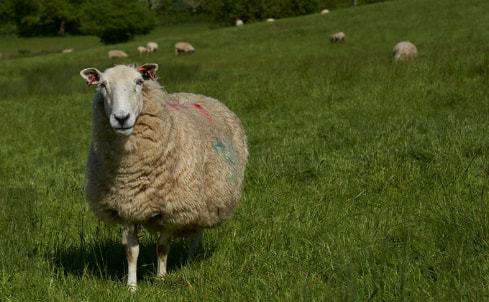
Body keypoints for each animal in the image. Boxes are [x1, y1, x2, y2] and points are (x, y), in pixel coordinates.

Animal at [80, 63, 250, 290]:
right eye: (102, 85)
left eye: (139, 82)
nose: (121, 118)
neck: (130, 172)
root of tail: (195, 94)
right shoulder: (128, 205)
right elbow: (131, 251)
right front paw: (131, 286)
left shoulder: (172, 209)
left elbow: (162, 247)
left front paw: (161, 278)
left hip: (202, 201)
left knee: (196, 235)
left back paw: (190, 261)